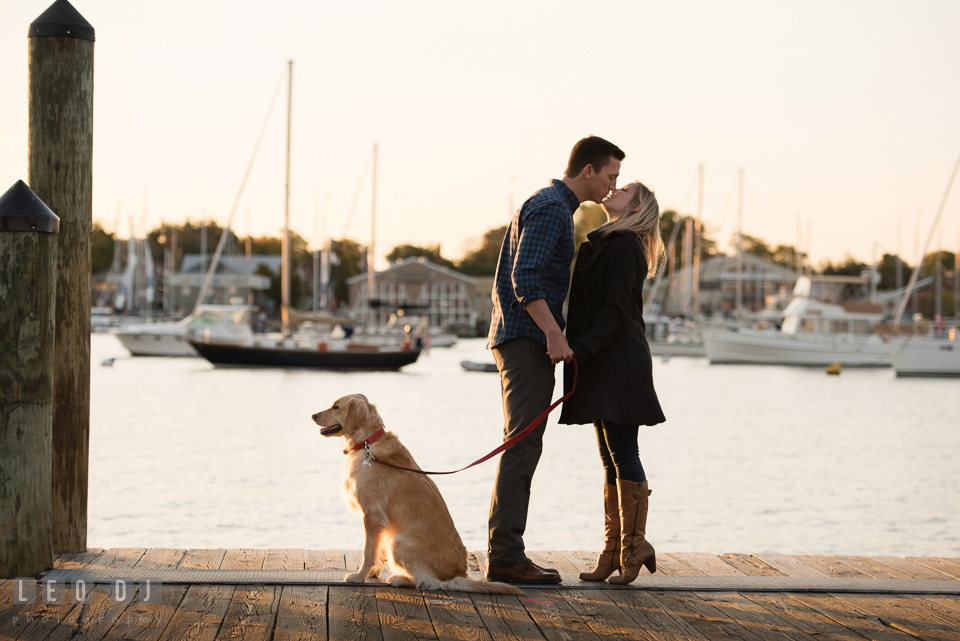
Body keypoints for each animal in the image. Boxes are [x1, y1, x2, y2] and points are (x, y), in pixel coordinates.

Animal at [312, 396, 520, 596]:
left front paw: (359, 576)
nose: (313, 415)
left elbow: (368, 552)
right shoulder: (380, 521)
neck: (367, 444)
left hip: (398, 542)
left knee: (430, 582)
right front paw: (372, 573)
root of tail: (456, 573)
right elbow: (377, 551)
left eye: (336, 406)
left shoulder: (372, 515)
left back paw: (399, 579)